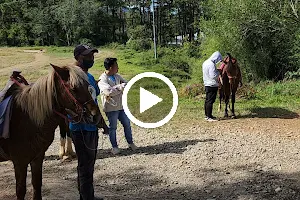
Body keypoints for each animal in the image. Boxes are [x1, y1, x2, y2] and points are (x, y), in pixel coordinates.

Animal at [0, 64, 108, 200]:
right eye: (73, 88)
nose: (95, 116)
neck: (28, 118)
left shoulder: (37, 158)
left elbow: (37, 185)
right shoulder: (19, 162)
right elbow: (20, 191)